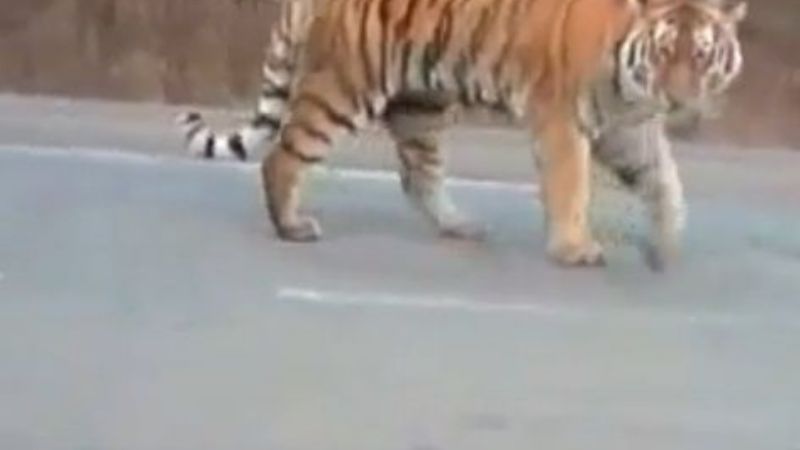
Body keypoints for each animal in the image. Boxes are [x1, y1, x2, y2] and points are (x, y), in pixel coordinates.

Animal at [179, 0, 746, 269]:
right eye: (665, 51)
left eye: (700, 55)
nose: (679, 100)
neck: (634, 84)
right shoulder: (562, 117)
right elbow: (571, 186)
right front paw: (574, 250)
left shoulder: (630, 127)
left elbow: (664, 182)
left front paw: (666, 245)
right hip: (343, 87)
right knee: (284, 155)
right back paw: (293, 227)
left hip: (420, 102)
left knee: (418, 176)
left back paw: (460, 225)